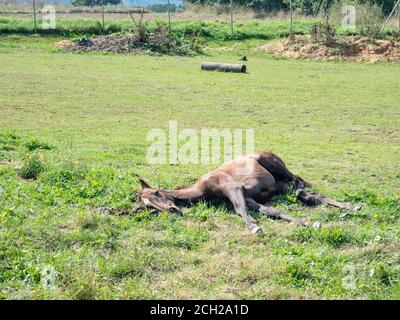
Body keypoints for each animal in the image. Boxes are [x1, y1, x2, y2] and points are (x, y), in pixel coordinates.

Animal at [137, 151, 360, 234]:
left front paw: (254, 227)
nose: (173, 210)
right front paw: (304, 222)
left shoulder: (234, 188)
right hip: (281, 185)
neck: (204, 187)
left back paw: (353, 205)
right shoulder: (250, 198)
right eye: (148, 208)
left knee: (301, 184)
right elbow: (272, 212)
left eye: (156, 193)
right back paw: (350, 206)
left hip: (277, 167)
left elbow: (239, 209)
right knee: (309, 195)